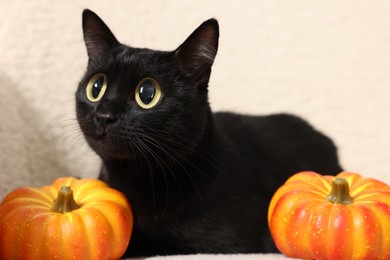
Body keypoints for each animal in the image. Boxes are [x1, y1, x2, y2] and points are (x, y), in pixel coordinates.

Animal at [75, 9, 342, 256]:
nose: (104, 115)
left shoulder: (216, 243)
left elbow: (139, 244)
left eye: (147, 94)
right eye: (96, 87)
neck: (132, 178)